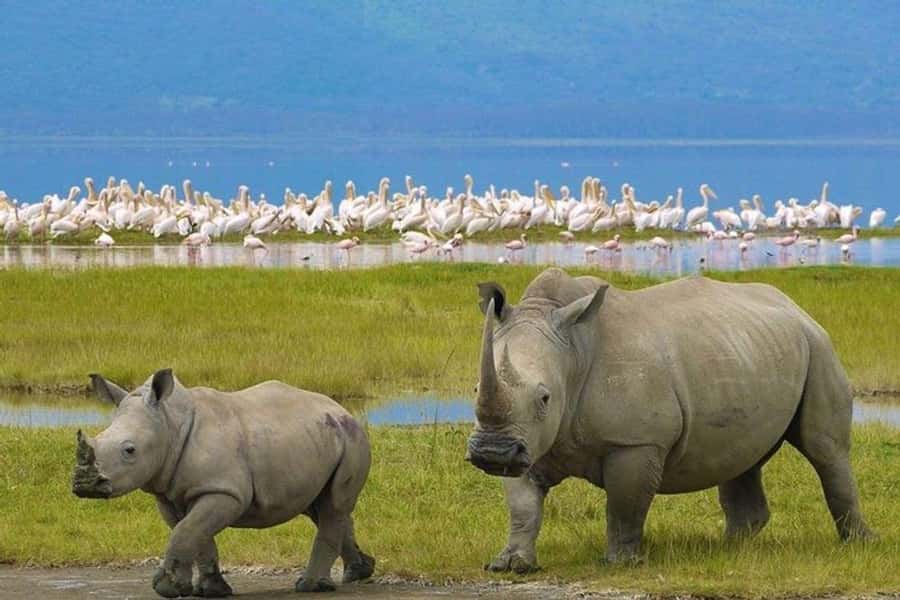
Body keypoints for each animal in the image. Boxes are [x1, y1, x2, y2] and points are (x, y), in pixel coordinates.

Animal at [72, 369, 374, 597]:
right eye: (97, 439)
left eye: (129, 450)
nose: (84, 485)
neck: (170, 424)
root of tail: (341, 409)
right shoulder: (171, 494)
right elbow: (194, 533)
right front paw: (209, 590)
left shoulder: (224, 491)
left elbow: (186, 531)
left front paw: (167, 588)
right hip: (320, 438)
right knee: (320, 507)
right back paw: (358, 572)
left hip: (352, 439)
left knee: (333, 506)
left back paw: (309, 586)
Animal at [466, 268, 874, 572]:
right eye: (475, 389)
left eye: (545, 398)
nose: (491, 453)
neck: (573, 353)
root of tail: (795, 306)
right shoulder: (526, 440)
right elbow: (522, 505)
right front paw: (511, 565)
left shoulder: (636, 441)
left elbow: (625, 505)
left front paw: (621, 563)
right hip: (748, 349)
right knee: (743, 455)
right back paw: (728, 549)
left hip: (819, 347)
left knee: (825, 450)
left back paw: (859, 544)